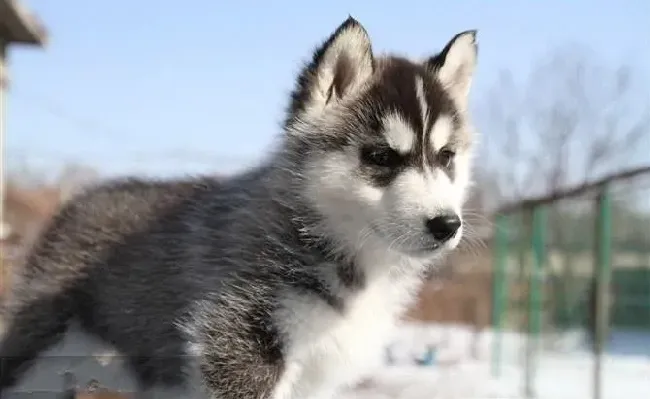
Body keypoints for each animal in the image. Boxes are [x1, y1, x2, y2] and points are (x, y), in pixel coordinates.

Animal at [0, 16, 476, 399]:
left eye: (446, 157)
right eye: (380, 157)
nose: (446, 224)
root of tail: (79, 201)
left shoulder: (316, 372)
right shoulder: (240, 347)